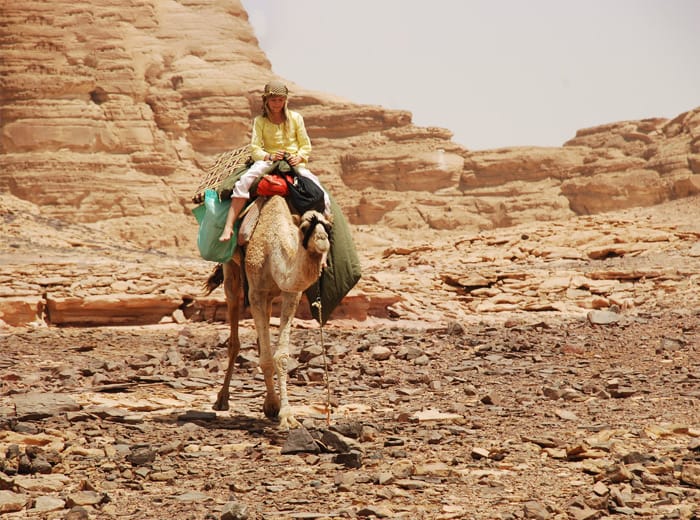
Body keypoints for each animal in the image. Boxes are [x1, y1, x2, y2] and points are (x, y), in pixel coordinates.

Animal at [204, 195, 332, 430]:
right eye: (304, 227)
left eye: (327, 227)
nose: (322, 241)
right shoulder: (256, 293)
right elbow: (265, 358)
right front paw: (274, 405)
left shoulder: (291, 293)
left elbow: (280, 356)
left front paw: (285, 413)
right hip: (232, 271)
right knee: (234, 329)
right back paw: (222, 399)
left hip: (270, 296)